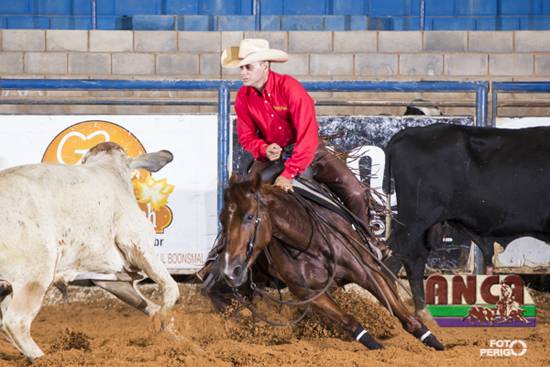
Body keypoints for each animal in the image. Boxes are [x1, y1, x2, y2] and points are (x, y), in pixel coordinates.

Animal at [0, 142, 179, 362]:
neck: (110, 171)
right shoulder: (138, 242)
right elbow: (171, 289)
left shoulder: (108, 278)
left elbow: (152, 308)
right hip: (35, 274)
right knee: (16, 321)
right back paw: (44, 358)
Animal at [209, 174, 446, 352]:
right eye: (222, 219)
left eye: (250, 217)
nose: (230, 269)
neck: (308, 240)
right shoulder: (311, 294)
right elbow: (349, 321)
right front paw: (377, 347)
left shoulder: (367, 271)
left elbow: (401, 312)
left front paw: (434, 341)